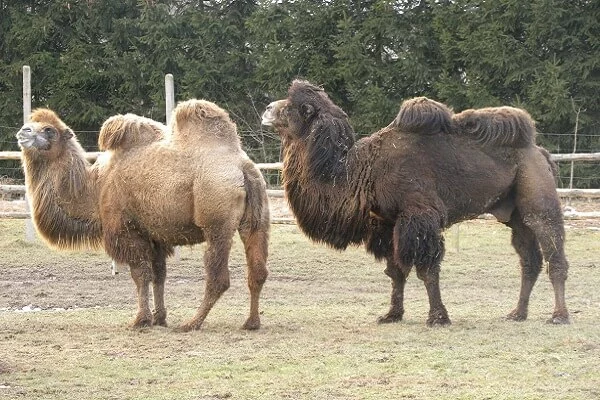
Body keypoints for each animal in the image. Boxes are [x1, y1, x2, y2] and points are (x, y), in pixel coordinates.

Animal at [17, 98, 270, 330]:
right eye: (32, 124)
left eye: (49, 130)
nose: (22, 131)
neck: (95, 188)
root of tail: (242, 167)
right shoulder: (154, 235)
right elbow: (159, 274)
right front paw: (159, 318)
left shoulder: (126, 230)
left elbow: (141, 275)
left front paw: (141, 320)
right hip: (256, 218)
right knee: (257, 270)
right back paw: (251, 322)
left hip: (216, 221)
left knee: (218, 277)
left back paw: (192, 322)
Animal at [262, 79, 568, 326]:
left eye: (297, 107)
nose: (267, 109)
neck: (361, 171)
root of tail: (540, 152)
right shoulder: (386, 223)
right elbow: (396, 271)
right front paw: (391, 315)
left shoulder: (419, 215)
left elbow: (427, 269)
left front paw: (438, 317)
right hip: (513, 214)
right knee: (529, 259)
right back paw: (517, 313)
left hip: (539, 199)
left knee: (554, 254)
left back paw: (559, 316)